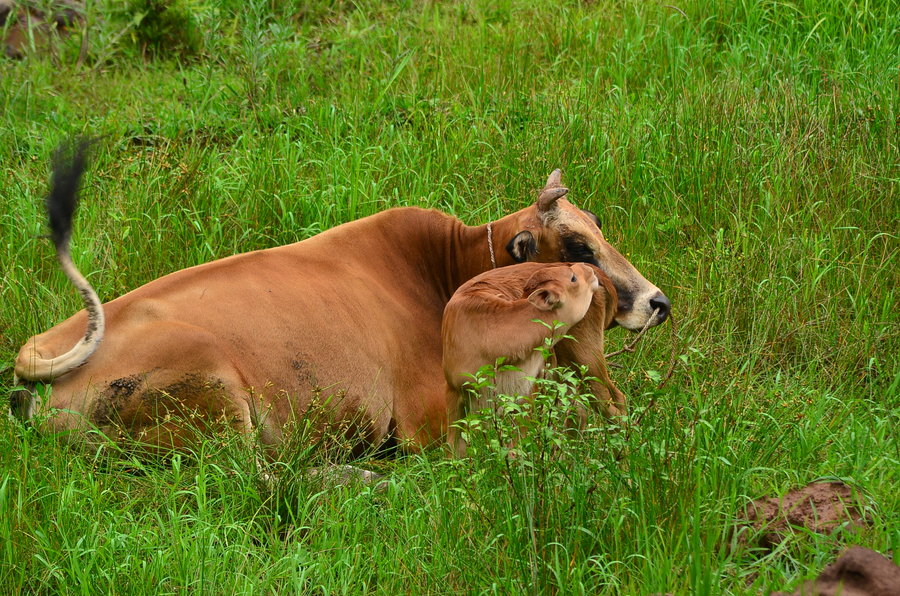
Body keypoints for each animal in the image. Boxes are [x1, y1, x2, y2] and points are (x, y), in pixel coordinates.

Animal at [442, 262, 624, 456]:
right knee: (581, 411)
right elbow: (455, 447)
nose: (587, 270)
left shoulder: (525, 392)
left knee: (614, 405)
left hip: (587, 360)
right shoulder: (454, 391)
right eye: (573, 277)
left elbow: (518, 448)